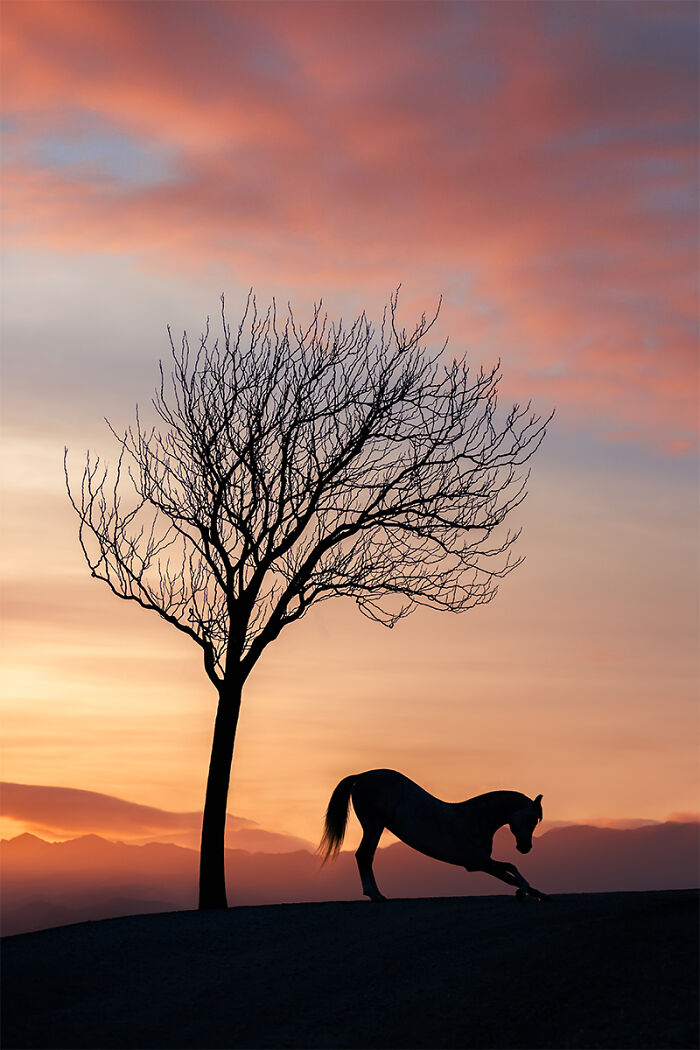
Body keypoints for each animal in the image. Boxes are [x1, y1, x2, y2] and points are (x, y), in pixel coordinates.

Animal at [319, 768, 551, 902]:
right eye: (532, 820)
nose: (525, 848)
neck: (476, 819)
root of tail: (361, 776)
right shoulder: (479, 862)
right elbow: (511, 871)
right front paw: (524, 891)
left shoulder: (482, 863)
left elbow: (510, 872)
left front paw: (539, 894)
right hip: (373, 826)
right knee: (364, 856)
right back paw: (375, 894)